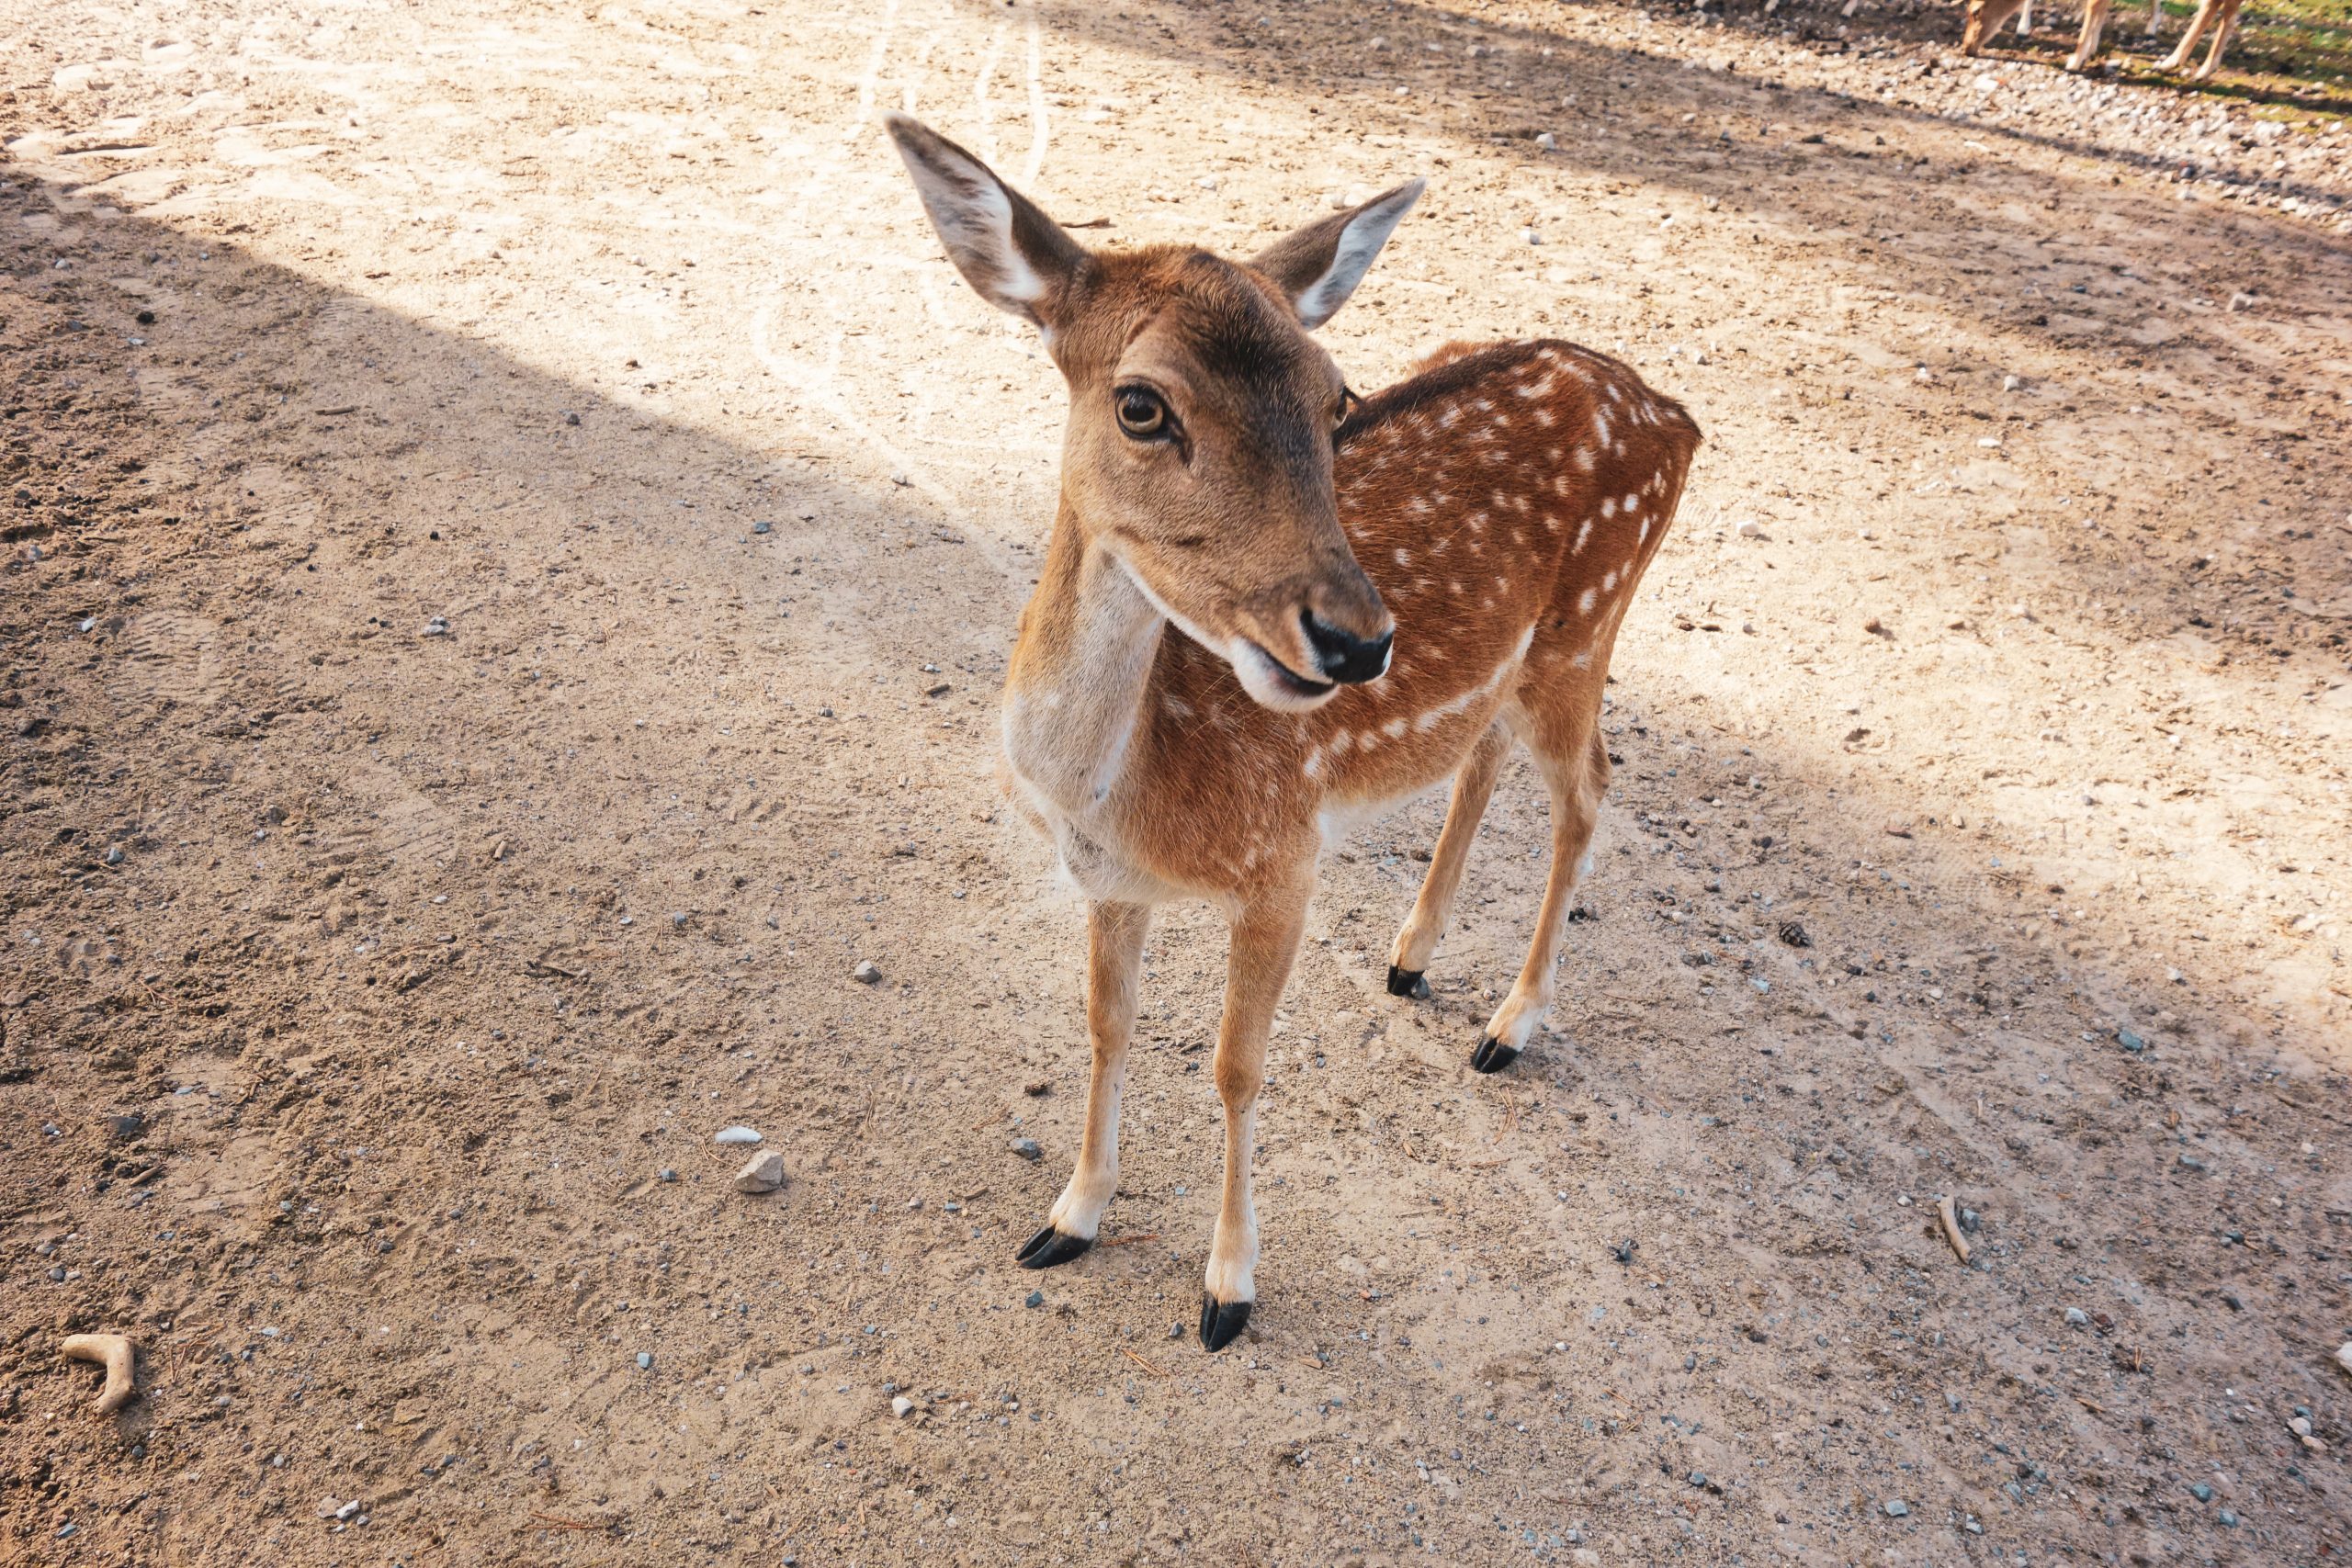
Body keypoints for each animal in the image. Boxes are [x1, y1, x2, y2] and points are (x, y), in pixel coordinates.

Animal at [884, 116, 1693, 1354]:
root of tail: (1674, 414)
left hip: (1584, 631)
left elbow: (1235, 1067)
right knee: (1484, 753)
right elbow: (1106, 1029)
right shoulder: (1105, 881)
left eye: (1336, 396)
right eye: (1140, 403)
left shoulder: (1284, 856)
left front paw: (1228, 1289)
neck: (1114, 789)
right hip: (1515, 666)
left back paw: (1511, 1025)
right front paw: (1069, 1218)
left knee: (1591, 789)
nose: (1359, 642)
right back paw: (1410, 958)